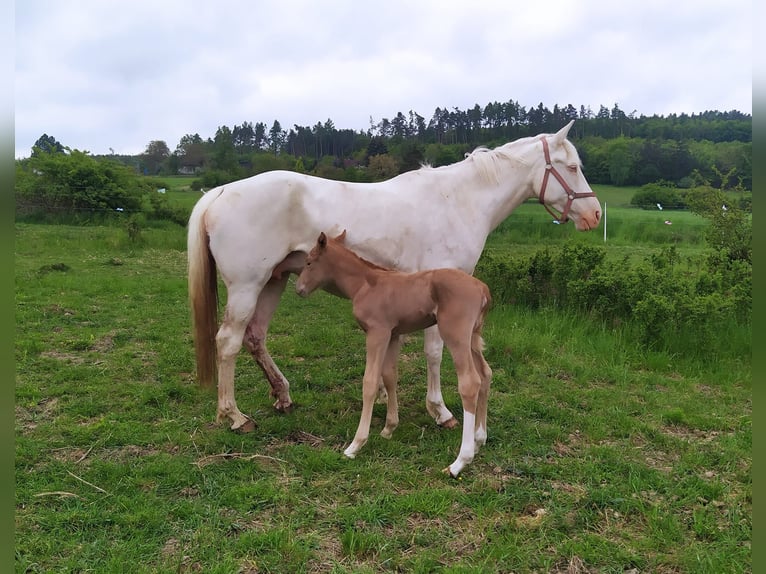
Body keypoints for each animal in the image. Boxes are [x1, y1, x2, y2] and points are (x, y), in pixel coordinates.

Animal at [189, 120, 604, 432]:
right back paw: (235, 416)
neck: (459, 200)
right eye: (571, 167)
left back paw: (283, 396)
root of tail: (220, 192)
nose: (595, 215)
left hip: (273, 281)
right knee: (229, 341)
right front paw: (440, 411)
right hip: (247, 285)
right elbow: (434, 352)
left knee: (255, 337)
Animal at [294, 232, 492, 480]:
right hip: (473, 337)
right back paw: (479, 439)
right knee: (485, 374)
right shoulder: (393, 334)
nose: (298, 289)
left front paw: (355, 445)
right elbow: (389, 376)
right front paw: (389, 428)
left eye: (309, 262)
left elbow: (370, 382)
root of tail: (482, 289)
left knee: (470, 382)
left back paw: (459, 462)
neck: (365, 284)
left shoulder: (377, 332)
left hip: (456, 335)